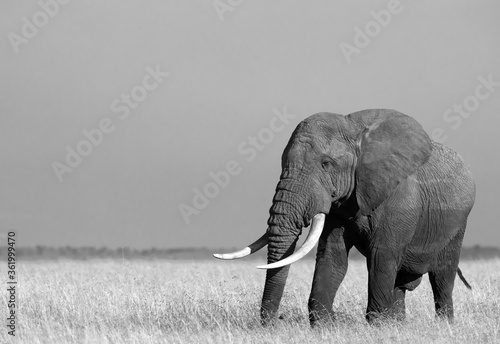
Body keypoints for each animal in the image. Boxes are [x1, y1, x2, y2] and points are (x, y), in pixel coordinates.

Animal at [213, 109, 474, 326]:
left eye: (326, 164)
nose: (273, 323)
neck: (354, 130)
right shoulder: (338, 205)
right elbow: (332, 255)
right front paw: (325, 326)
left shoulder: (398, 200)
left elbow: (381, 256)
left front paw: (377, 327)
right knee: (401, 281)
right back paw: (399, 325)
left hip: (458, 224)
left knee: (442, 276)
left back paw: (444, 325)